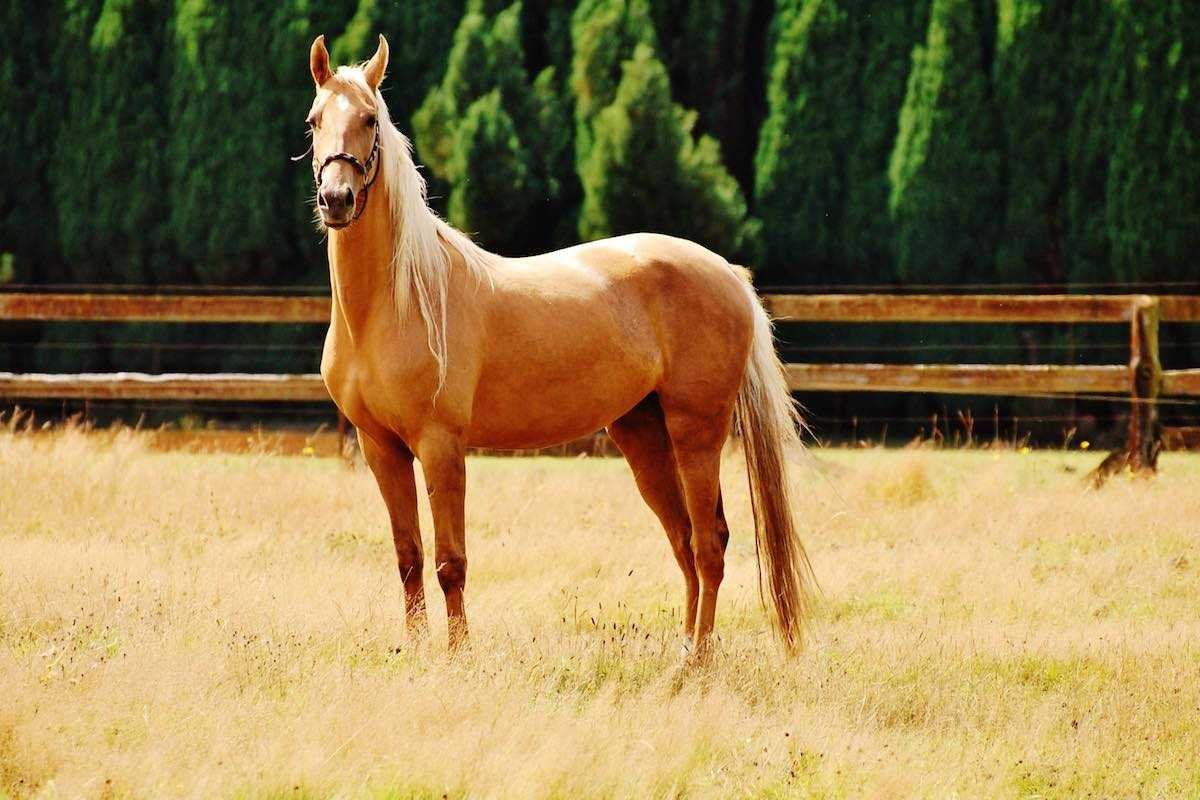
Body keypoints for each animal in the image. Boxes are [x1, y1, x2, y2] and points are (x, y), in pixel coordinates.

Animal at [304, 34, 813, 656]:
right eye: (314, 121)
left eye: (370, 120)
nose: (336, 199)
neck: (396, 302)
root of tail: (727, 274)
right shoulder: (382, 448)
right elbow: (409, 557)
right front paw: (417, 651)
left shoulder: (440, 444)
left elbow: (451, 562)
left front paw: (457, 655)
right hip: (643, 435)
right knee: (685, 542)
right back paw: (681, 652)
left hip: (697, 430)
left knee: (708, 543)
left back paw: (693, 664)